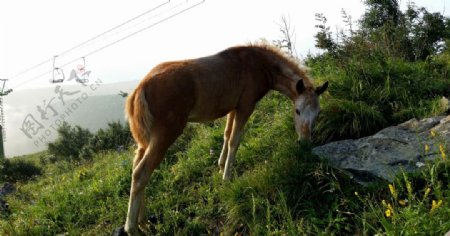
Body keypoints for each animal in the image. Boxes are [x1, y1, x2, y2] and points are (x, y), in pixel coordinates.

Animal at [123, 43, 326, 234]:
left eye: (317, 114)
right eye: (297, 110)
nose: (305, 142)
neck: (258, 64)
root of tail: (140, 88)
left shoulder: (233, 108)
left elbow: (227, 136)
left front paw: (221, 166)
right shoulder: (245, 106)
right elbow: (235, 140)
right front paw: (227, 178)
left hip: (145, 141)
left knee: (137, 167)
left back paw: (143, 220)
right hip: (165, 135)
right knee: (141, 173)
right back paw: (132, 228)